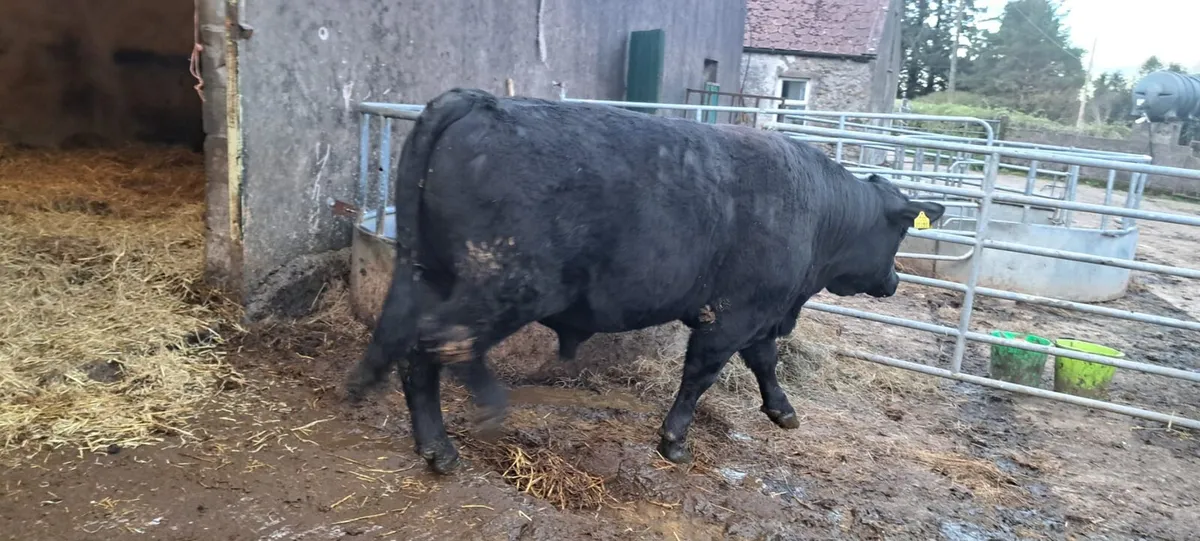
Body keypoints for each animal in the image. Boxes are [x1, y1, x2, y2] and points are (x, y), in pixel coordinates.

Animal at [345, 88, 944, 475]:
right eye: (898, 235)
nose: (894, 281)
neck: (816, 210)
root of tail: (476, 99)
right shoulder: (735, 311)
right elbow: (703, 372)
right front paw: (674, 440)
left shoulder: (757, 311)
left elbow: (765, 361)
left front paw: (782, 411)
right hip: (505, 283)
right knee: (447, 342)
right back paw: (483, 413)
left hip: (430, 273)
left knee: (414, 352)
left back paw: (433, 446)